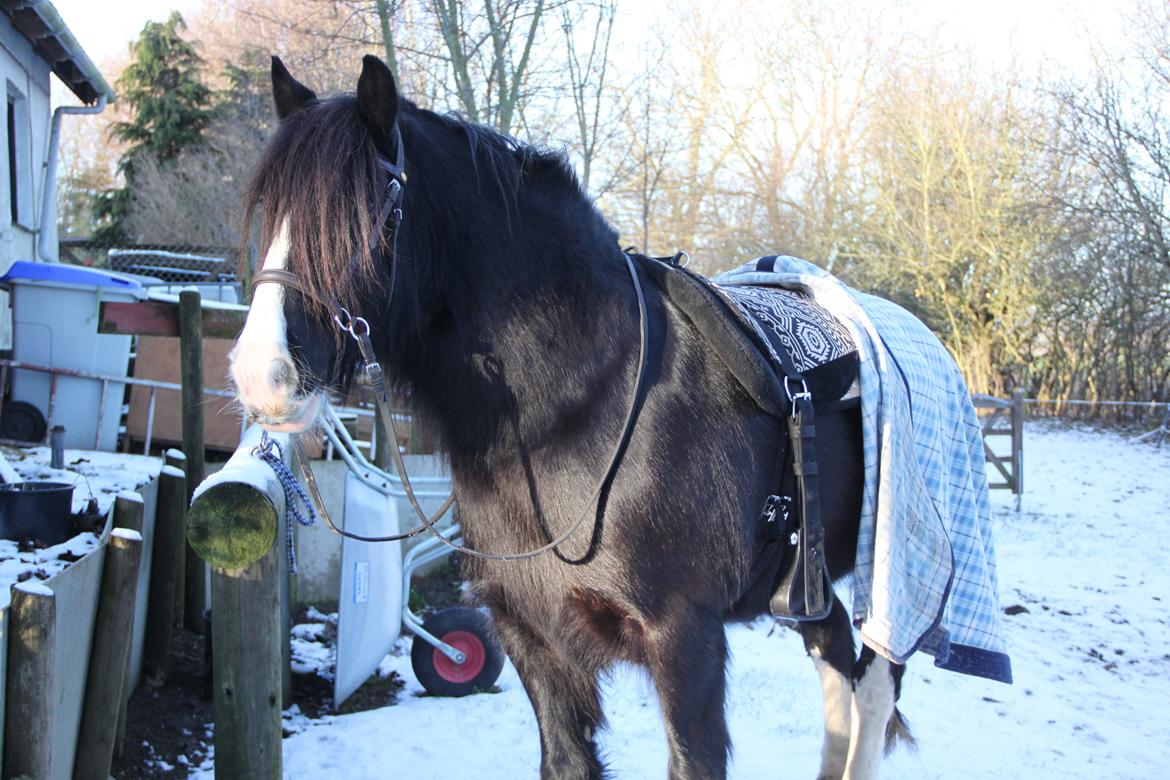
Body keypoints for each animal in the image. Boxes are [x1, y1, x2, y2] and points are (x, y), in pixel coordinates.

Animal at [228, 56, 903, 780]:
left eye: (364, 214)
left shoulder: (684, 640)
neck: (581, 405)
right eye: (271, 209)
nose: (263, 373)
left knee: (876, 684)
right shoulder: (532, 636)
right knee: (837, 658)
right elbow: (566, 759)